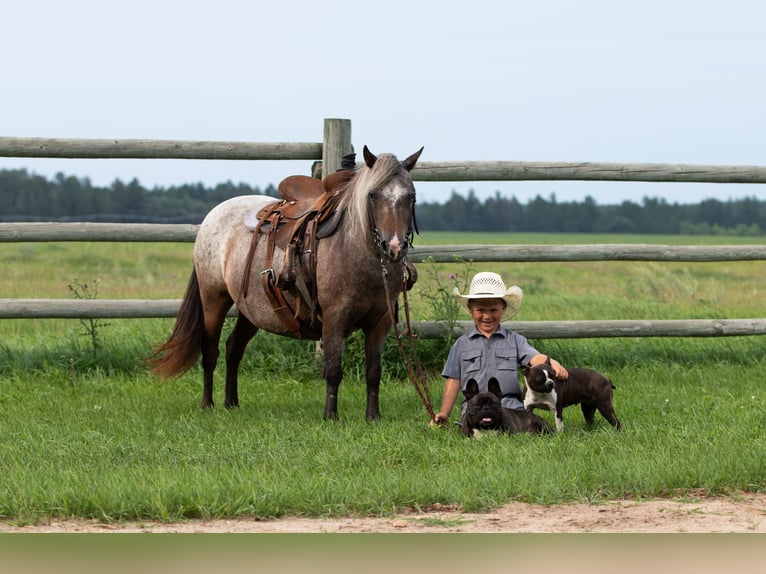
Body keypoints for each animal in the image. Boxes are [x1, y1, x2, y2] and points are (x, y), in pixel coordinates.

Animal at [148, 145, 424, 420]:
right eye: (373, 195)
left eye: (411, 196)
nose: (394, 247)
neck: (352, 247)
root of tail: (212, 215)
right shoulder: (334, 317)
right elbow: (333, 369)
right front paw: (330, 417)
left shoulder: (381, 322)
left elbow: (374, 371)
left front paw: (373, 417)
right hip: (213, 298)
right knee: (210, 350)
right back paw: (208, 404)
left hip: (252, 311)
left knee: (233, 348)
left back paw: (231, 402)